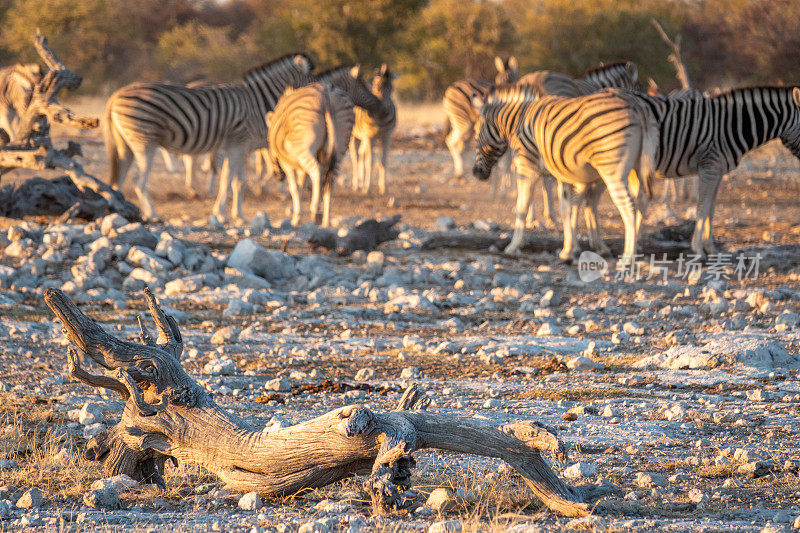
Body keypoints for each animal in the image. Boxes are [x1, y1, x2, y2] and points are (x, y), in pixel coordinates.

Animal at [105, 52, 316, 222]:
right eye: (311, 81)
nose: (316, 102)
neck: (257, 103)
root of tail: (114, 96)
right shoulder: (236, 145)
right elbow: (227, 180)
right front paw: (220, 213)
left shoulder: (242, 148)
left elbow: (239, 183)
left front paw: (240, 216)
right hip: (144, 141)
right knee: (138, 180)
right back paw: (153, 214)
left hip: (125, 145)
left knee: (119, 178)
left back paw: (118, 211)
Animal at [352, 63, 398, 194]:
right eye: (377, 87)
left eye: (391, 89)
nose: (384, 111)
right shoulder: (369, 137)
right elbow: (370, 161)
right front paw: (367, 188)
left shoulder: (387, 136)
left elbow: (383, 160)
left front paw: (383, 187)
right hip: (353, 136)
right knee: (355, 157)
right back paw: (356, 185)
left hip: (363, 138)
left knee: (361, 154)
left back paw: (360, 182)